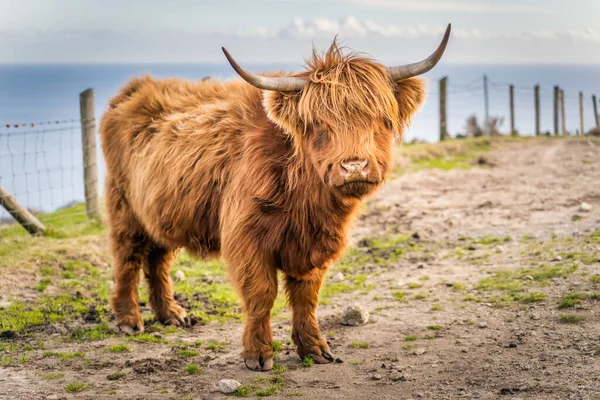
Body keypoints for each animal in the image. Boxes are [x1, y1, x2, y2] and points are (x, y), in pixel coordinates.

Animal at [99, 24, 450, 368]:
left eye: (381, 121)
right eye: (318, 124)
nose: (354, 166)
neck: (303, 197)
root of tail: (137, 88)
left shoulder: (314, 245)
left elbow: (307, 296)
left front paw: (314, 348)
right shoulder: (246, 238)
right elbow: (261, 293)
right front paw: (257, 354)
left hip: (162, 211)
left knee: (158, 259)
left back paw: (170, 314)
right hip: (124, 207)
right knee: (128, 258)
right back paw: (129, 319)